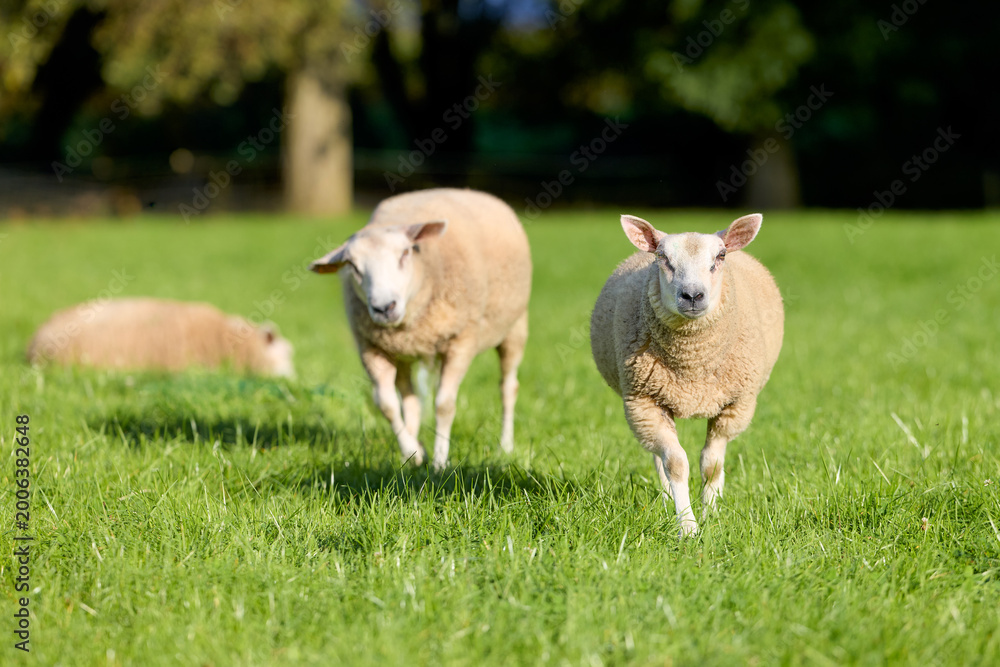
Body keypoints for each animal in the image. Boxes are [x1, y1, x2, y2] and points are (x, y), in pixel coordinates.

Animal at [310, 188, 532, 471]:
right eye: (353, 266)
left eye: (405, 253)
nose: (384, 308)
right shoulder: (372, 348)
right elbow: (387, 405)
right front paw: (412, 453)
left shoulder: (461, 342)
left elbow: (444, 405)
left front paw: (439, 462)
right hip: (402, 354)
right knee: (410, 401)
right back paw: (413, 450)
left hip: (515, 327)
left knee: (508, 387)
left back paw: (505, 446)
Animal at [590, 213, 783, 536]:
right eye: (662, 257)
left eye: (720, 256)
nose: (692, 295)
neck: (692, 365)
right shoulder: (643, 402)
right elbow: (676, 463)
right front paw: (688, 526)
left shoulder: (734, 406)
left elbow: (712, 464)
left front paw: (711, 514)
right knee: (658, 458)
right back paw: (667, 498)